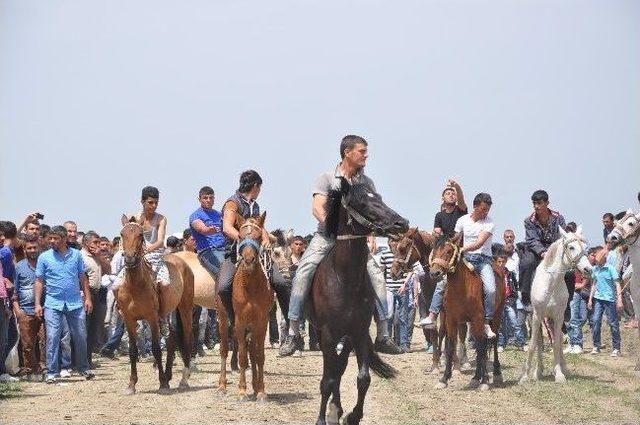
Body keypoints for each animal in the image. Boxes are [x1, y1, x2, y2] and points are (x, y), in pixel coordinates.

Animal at [117, 220, 192, 392]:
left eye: (140, 235)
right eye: (122, 234)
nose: (129, 258)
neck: (134, 286)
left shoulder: (151, 318)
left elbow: (156, 348)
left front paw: (162, 383)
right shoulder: (129, 319)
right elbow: (133, 350)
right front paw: (131, 384)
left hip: (185, 307)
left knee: (186, 337)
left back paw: (183, 377)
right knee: (171, 338)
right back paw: (169, 375)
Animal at [218, 212, 272, 400]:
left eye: (258, 236)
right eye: (240, 236)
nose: (248, 260)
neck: (250, 286)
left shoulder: (262, 322)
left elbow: (259, 356)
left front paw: (261, 390)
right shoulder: (240, 322)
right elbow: (241, 356)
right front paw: (242, 390)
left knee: (252, 353)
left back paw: (255, 386)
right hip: (223, 319)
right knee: (225, 350)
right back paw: (222, 386)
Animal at [312, 176, 410, 424]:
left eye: (379, 197)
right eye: (362, 203)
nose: (401, 223)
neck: (345, 280)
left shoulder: (358, 332)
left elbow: (363, 378)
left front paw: (352, 416)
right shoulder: (328, 335)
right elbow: (327, 380)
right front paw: (322, 418)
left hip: (348, 337)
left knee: (339, 367)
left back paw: (336, 409)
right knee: (333, 371)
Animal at [424, 234, 504, 390]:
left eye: (449, 251)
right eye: (434, 250)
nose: (435, 273)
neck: (462, 289)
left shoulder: (478, 319)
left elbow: (481, 348)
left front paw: (485, 381)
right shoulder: (451, 320)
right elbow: (450, 346)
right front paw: (444, 379)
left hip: (496, 316)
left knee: (493, 340)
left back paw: (496, 373)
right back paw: (476, 377)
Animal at [520, 225, 592, 384]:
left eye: (585, 247)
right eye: (571, 247)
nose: (588, 269)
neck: (551, 282)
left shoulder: (558, 316)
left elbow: (557, 344)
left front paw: (559, 373)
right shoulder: (537, 315)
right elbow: (533, 344)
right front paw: (525, 376)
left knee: (556, 339)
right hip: (536, 317)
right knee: (539, 342)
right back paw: (538, 372)